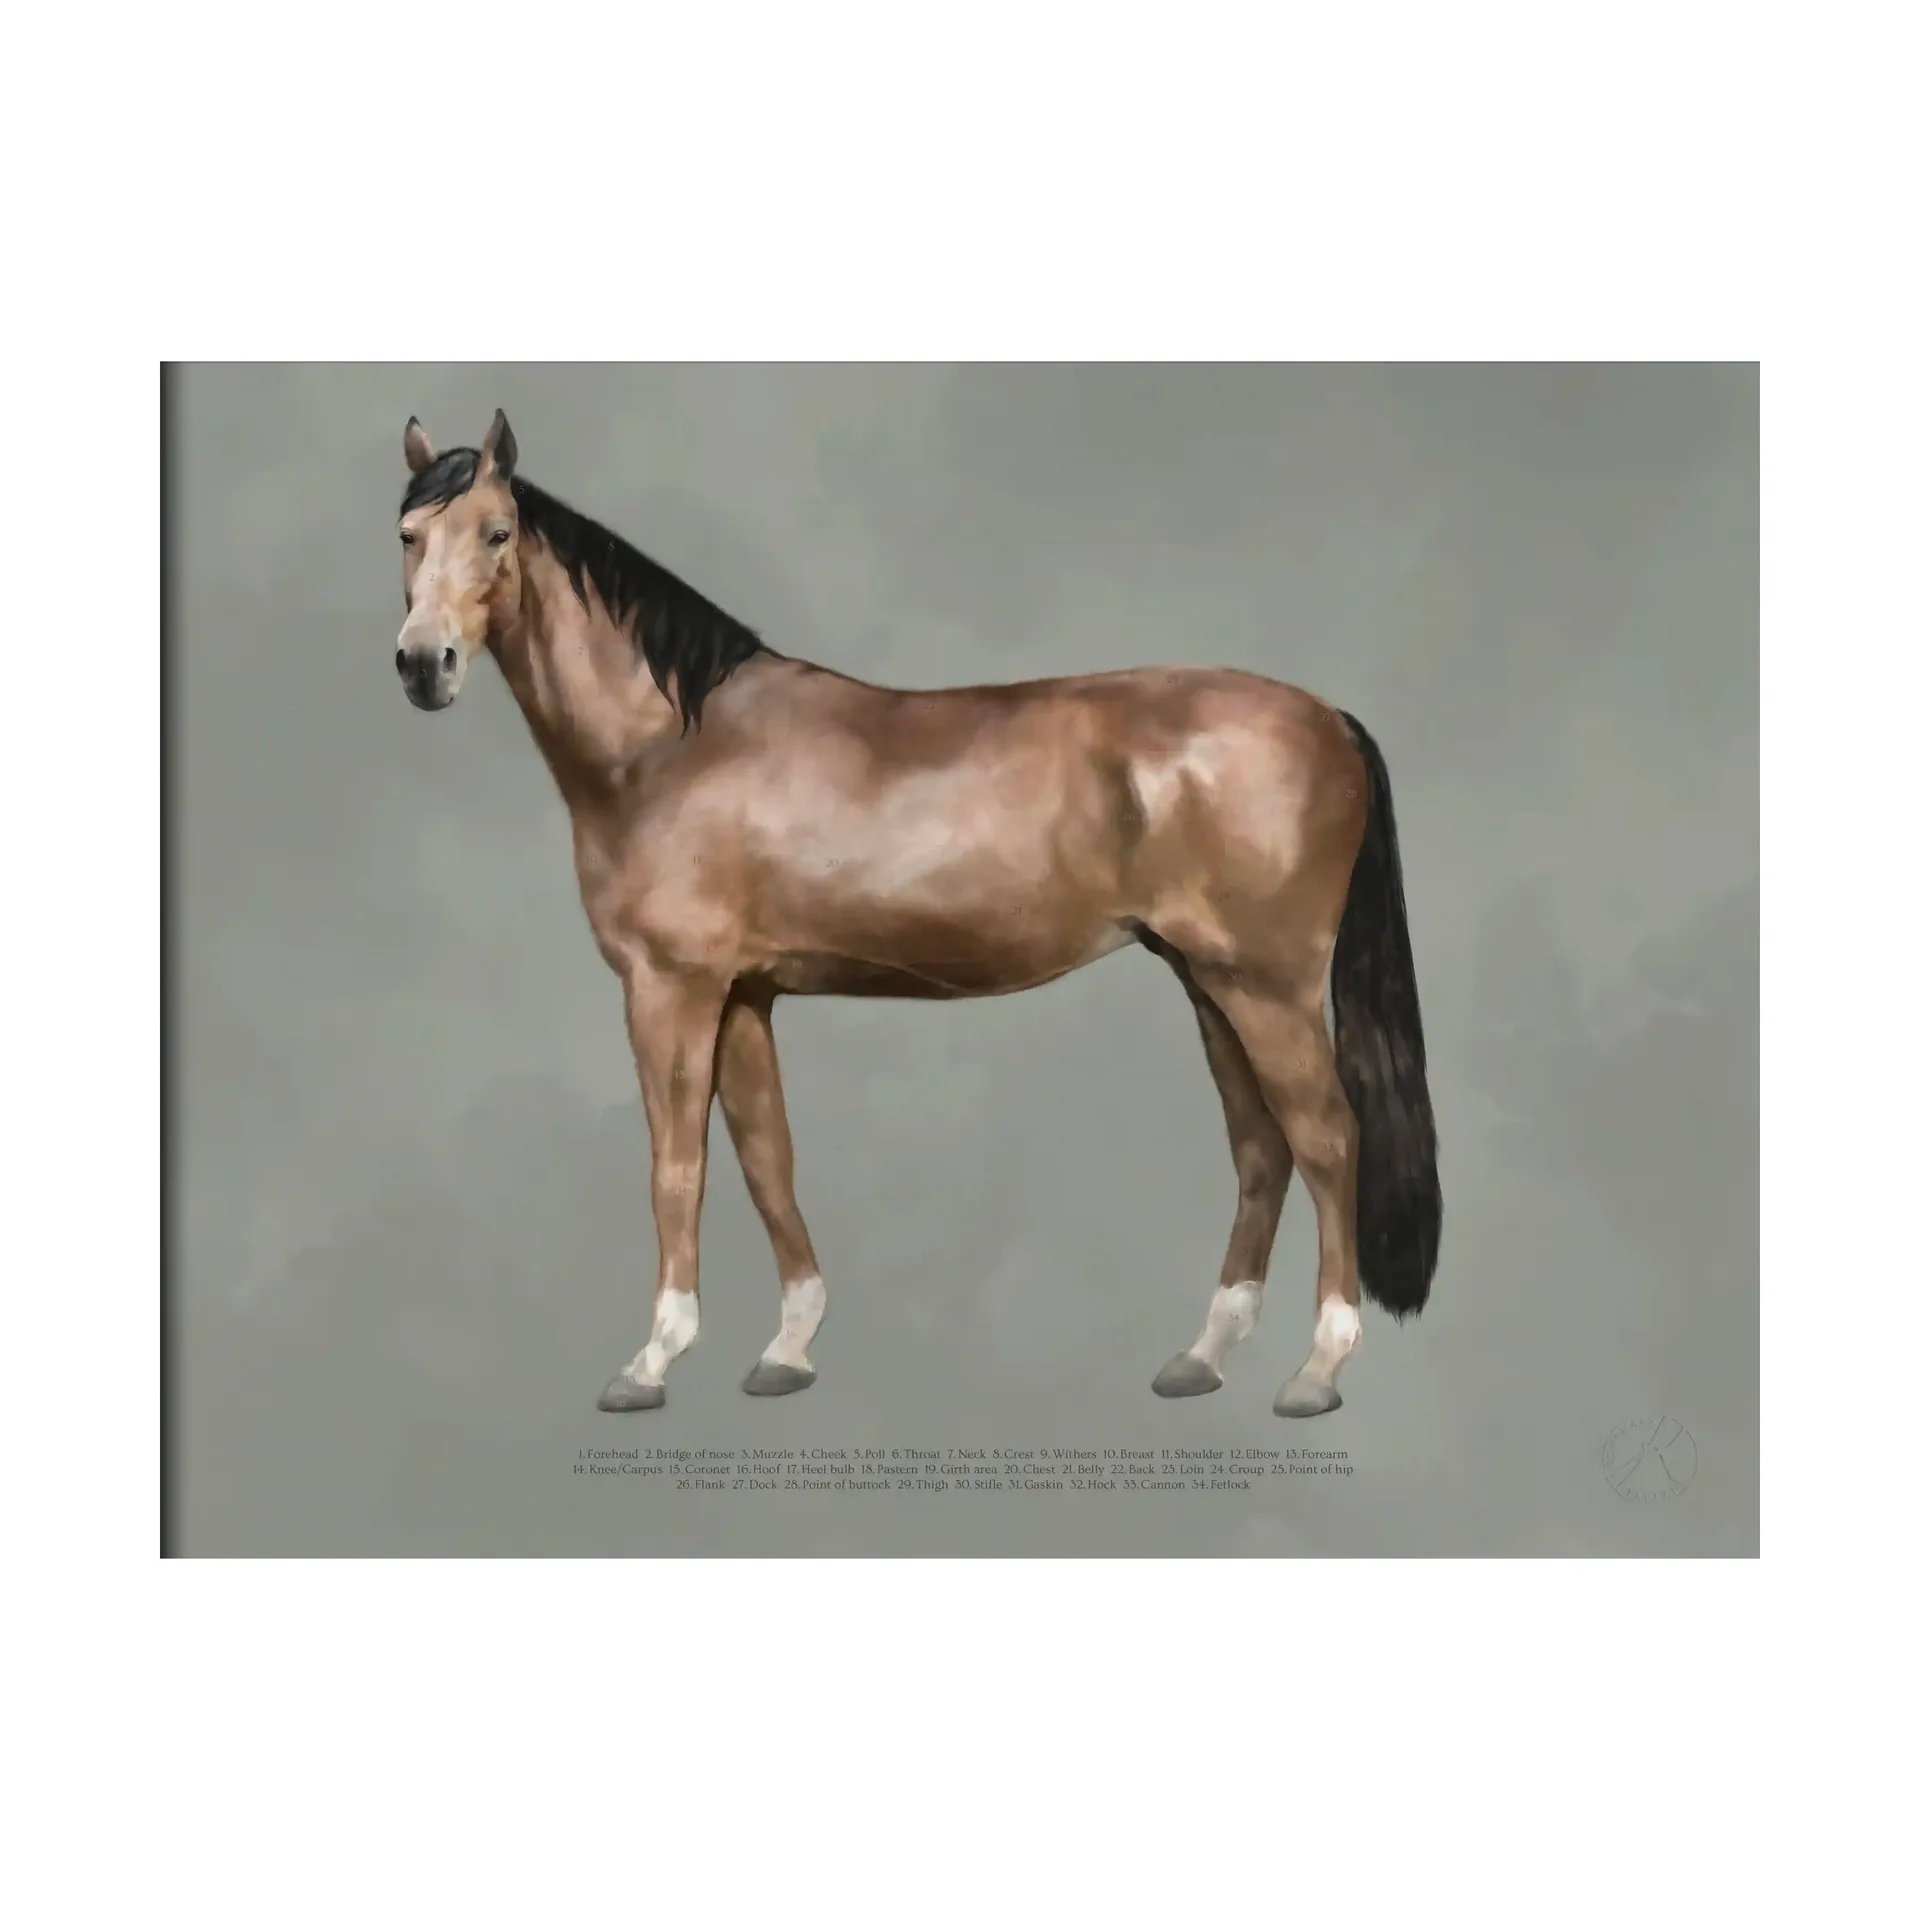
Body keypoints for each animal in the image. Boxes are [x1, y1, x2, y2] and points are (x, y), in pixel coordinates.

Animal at [392, 409, 1440, 1419]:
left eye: (496, 532)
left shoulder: (671, 989)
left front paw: (651, 1361)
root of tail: (1330, 720)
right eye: (408, 534)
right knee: (1261, 1148)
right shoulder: (746, 995)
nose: (421, 666)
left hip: (1266, 987)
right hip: (1207, 979)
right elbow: (767, 1157)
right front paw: (788, 1350)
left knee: (1327, 1139)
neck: (669, 747)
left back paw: (1318, 1368)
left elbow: (677, 1169)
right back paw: (1201, 1358)